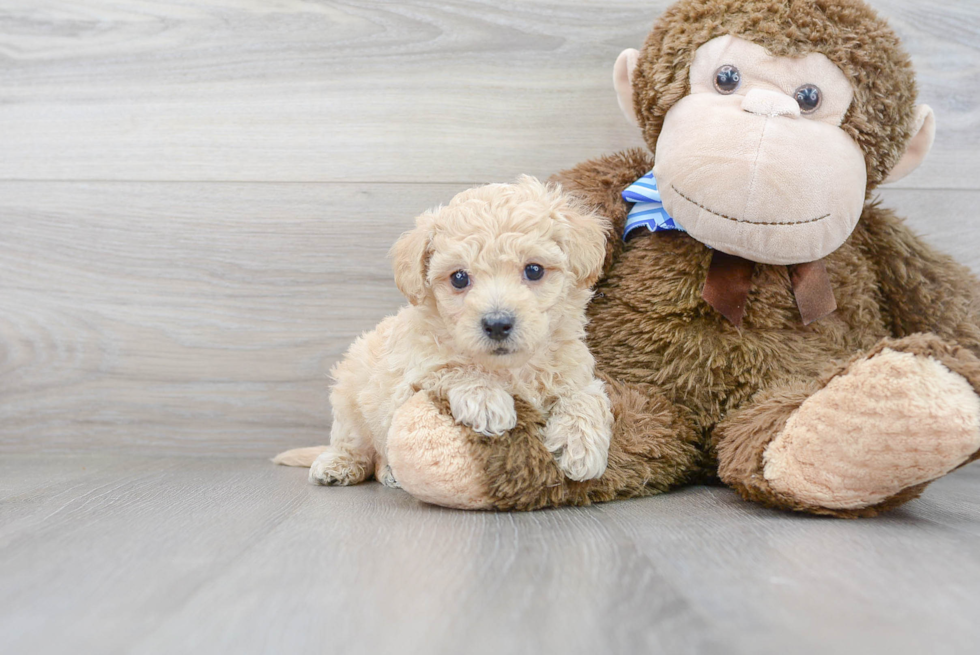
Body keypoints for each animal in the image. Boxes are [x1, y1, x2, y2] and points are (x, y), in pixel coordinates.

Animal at [306, 177, 612, 484]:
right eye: (459, 278)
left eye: (534, 270)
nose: (497, 324)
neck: (510, 368)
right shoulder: (410, 379)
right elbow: (453, 369)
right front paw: (487, 400)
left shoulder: (576, 373)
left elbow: (586, 396)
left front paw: (580, 445)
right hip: (349, 397)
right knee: (358, 443)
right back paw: (340, 465)